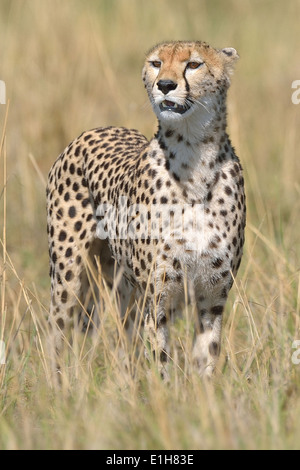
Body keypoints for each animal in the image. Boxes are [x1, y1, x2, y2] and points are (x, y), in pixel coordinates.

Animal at [45, 39, 245, 378]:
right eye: (156, 63)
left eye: (194, 64)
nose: (165, 85)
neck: (195, 159)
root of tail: (99, 128)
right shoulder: (158, 296)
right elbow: (161, 361)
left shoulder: (212, 298)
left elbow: (206, 359)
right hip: (68, 277)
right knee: (58, 331)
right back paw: (57, 385)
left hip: (123, 284)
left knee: (124, 336)